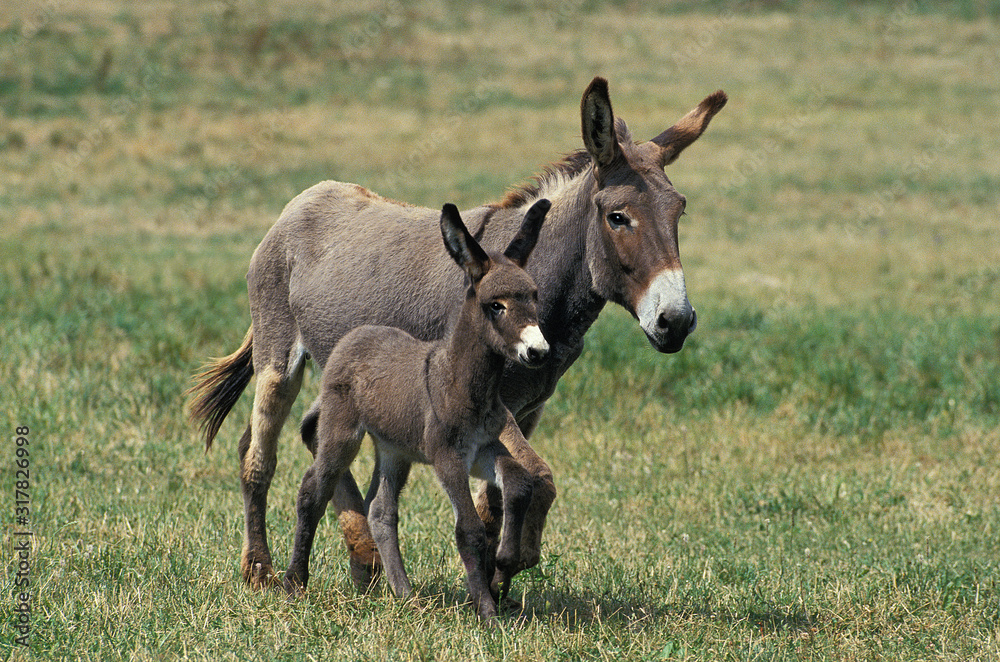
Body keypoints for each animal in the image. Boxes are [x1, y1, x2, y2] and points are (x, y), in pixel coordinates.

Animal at [284, 198, 556, 624]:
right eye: (495, 306)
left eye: (534, 297)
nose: (538, 352)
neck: (463, 383)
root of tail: (357, 334)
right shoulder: (446, 456)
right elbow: (469, 530)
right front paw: (487, 612)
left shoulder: (484, 448)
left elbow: (519, 482)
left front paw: (505, 563)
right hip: (342, 432)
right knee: (314, 488)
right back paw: (294, 582)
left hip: (395, 450)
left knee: (381, 510)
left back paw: (404, 594)